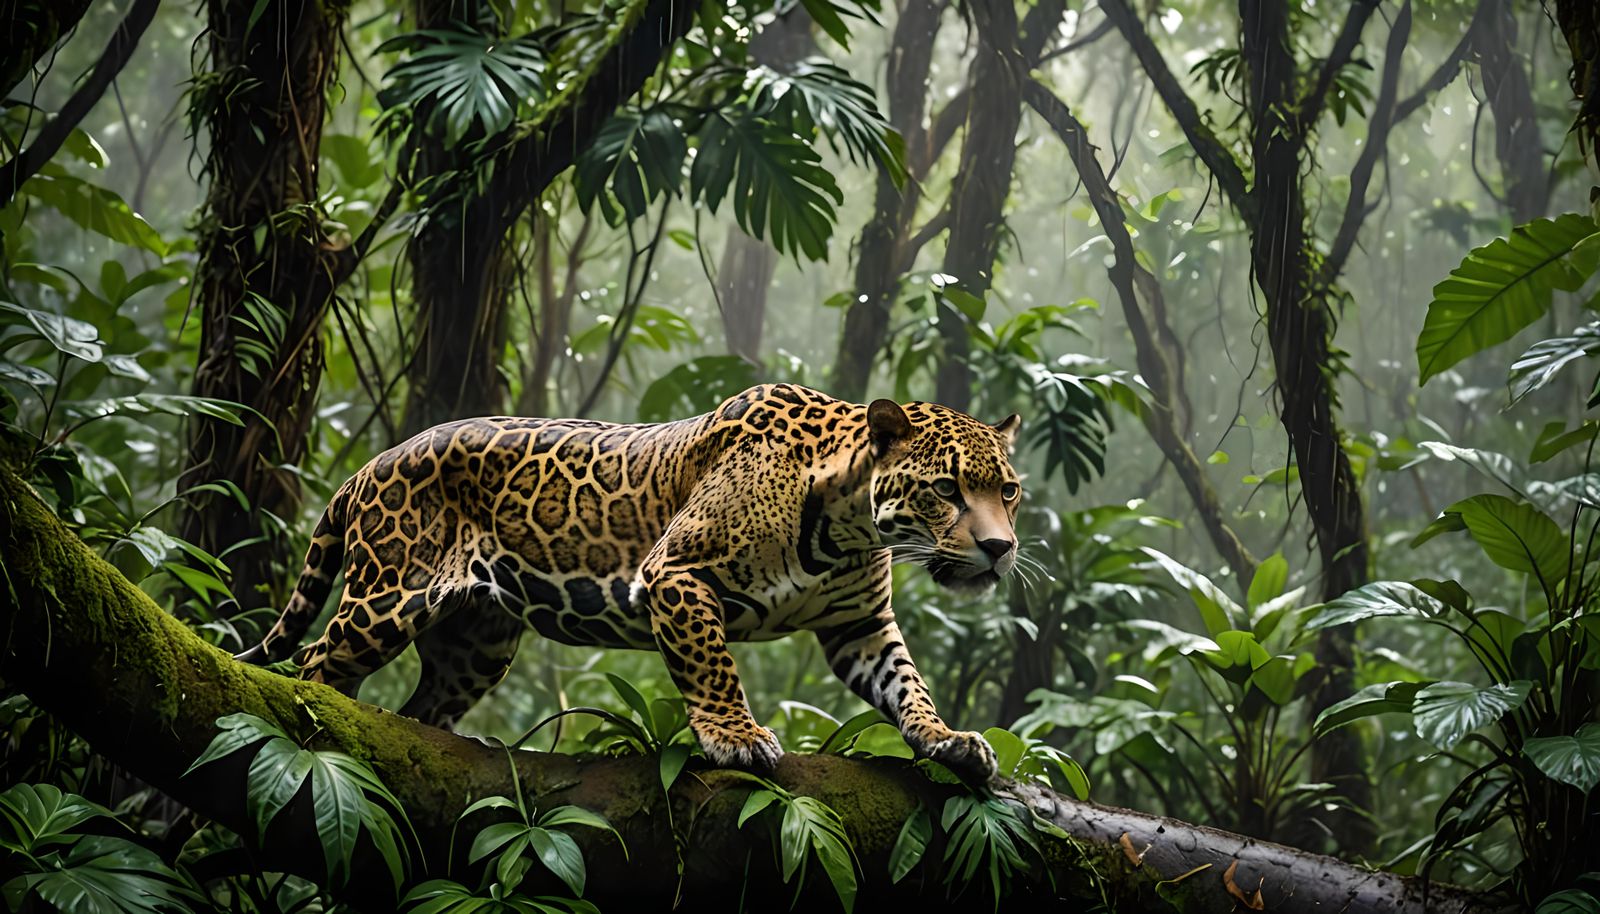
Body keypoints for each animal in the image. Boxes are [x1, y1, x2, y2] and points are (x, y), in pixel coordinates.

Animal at [236, 383, 1024, 785]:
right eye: (946, 490)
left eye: (1008, 491)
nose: (1000, 548)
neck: (850, 525)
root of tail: (370, 466)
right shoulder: (675, 574)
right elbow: (714, 668)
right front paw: (736, 738)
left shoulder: (859, 627)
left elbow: (907, 683)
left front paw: (947, 739)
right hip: (388, 596)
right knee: (313, 664)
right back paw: (323, 729)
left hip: (476, 646)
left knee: (423, 707)